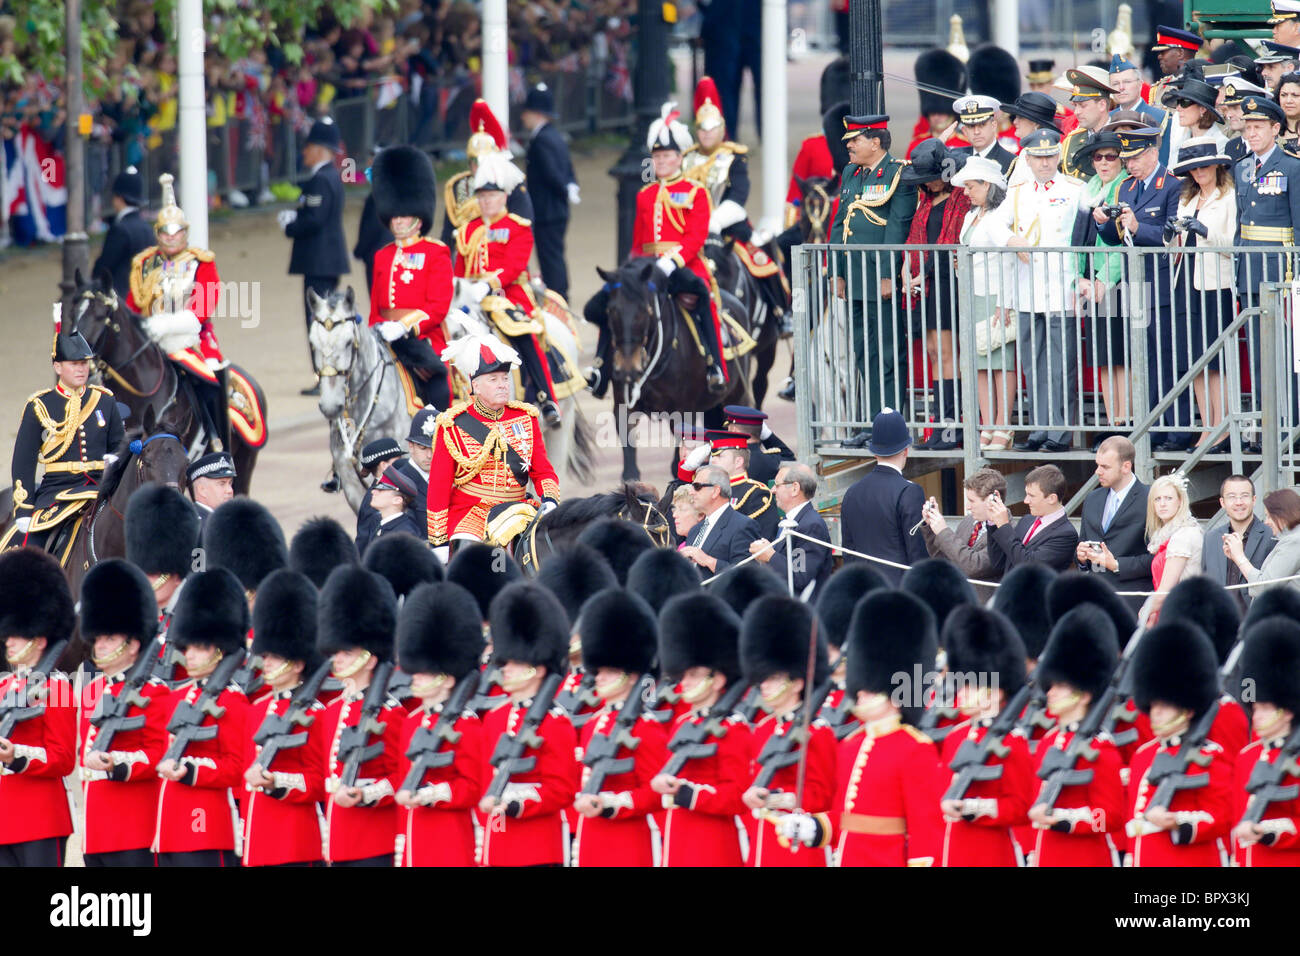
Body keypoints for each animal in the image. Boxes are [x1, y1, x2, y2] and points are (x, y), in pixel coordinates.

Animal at [590, 257, 754, 481]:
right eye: (611, 311)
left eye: (644, 310)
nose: (627, 369)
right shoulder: (623, 406)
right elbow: (630, 461)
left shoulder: (684, 411)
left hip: (736, 396)